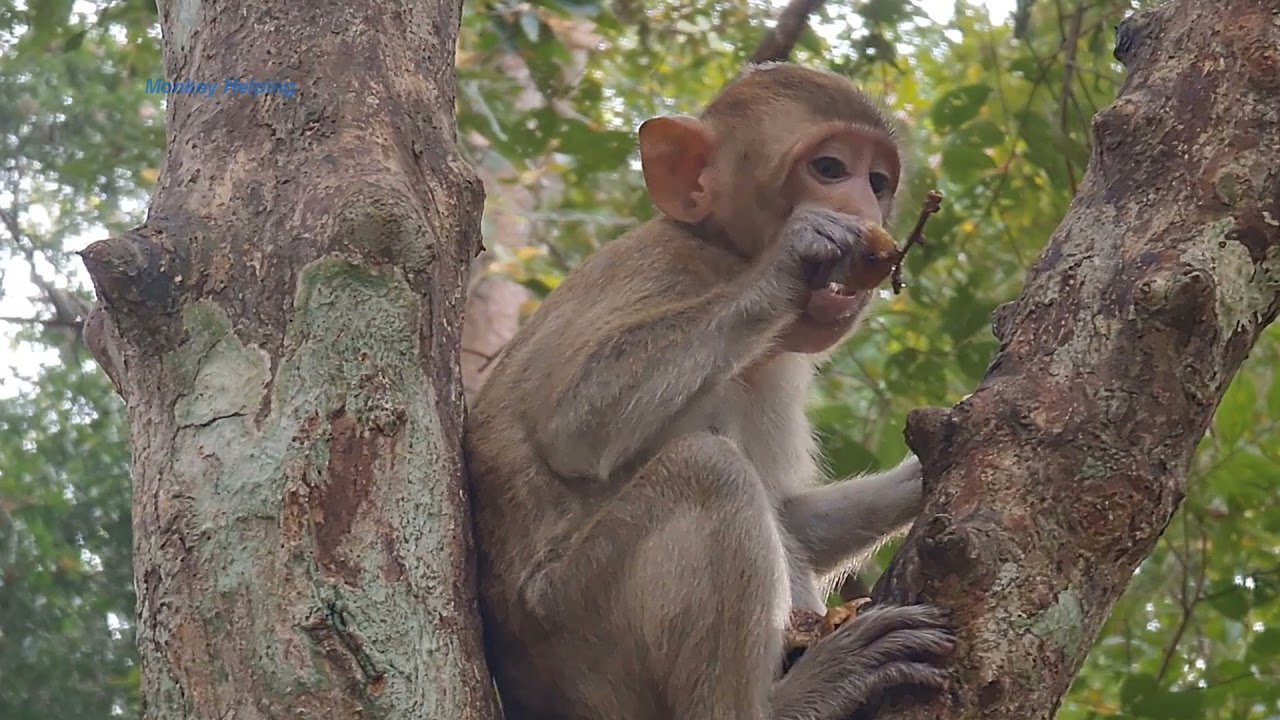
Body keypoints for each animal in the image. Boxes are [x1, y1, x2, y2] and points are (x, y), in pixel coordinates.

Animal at [464, 62, 954, 720]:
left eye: (876, 180)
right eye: (829, 169)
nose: (861, 204)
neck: (723, 252)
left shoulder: (777, 367)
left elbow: (790, 515)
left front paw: (927, 466)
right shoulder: (663, 270)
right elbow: (572, 427)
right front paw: (792, 259)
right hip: (578, 630)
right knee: (707, 469)